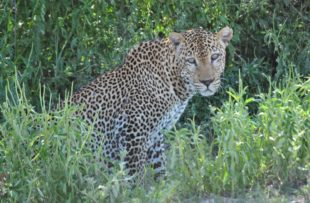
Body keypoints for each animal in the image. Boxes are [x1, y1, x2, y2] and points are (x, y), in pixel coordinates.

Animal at [68, 26, 232, 181]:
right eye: (191, 61)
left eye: (214, 57)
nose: (207, 82)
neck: (176, 84)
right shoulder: (133, 134)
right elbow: (136, 176)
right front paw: (138, 190)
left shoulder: (156, 135)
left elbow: (160, 167)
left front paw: (163, 187)